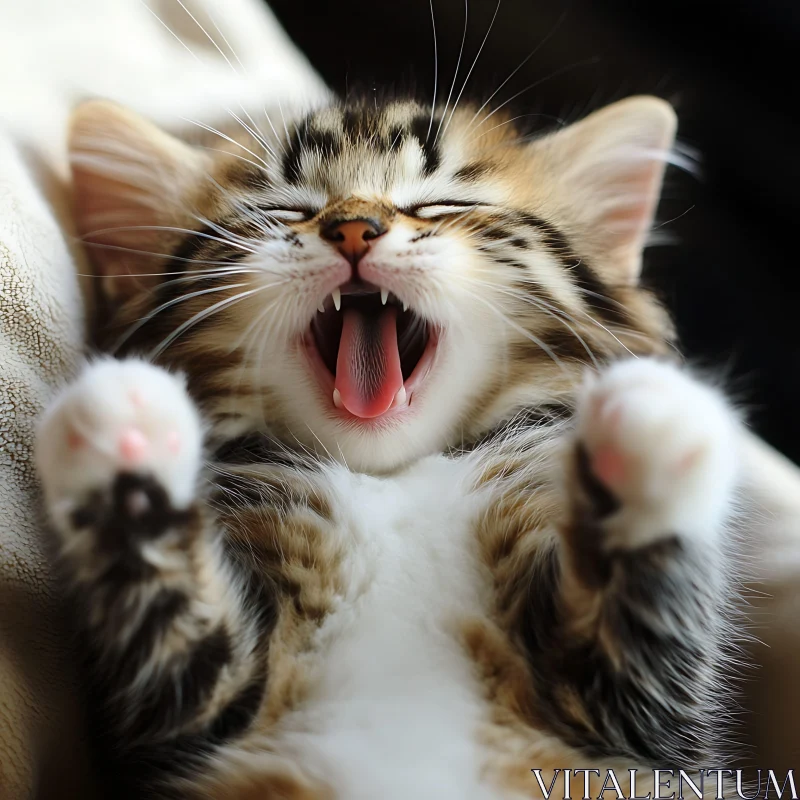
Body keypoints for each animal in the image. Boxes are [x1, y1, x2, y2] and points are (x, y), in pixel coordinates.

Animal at [34, 95, 740, 800]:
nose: (353, 229)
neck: (386, 479)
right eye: (283, 208)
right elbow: (177, 658)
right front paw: (125, 432)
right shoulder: (170, 740)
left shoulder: (639, 738)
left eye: (440, 203)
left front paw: (651, 423)